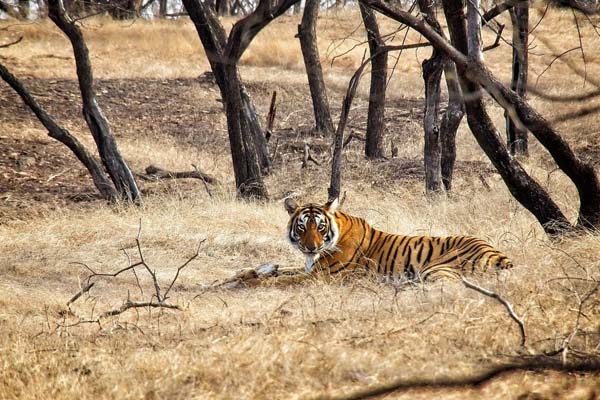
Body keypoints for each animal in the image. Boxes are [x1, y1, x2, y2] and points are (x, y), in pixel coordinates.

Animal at [282, 197, 510, 282]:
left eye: (320, 227)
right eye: (302, 227)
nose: (311, 247)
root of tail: (500, 255)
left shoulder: (323, 276)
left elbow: (284, 280)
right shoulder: (311, 269)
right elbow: (285, 269)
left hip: (436, 269)